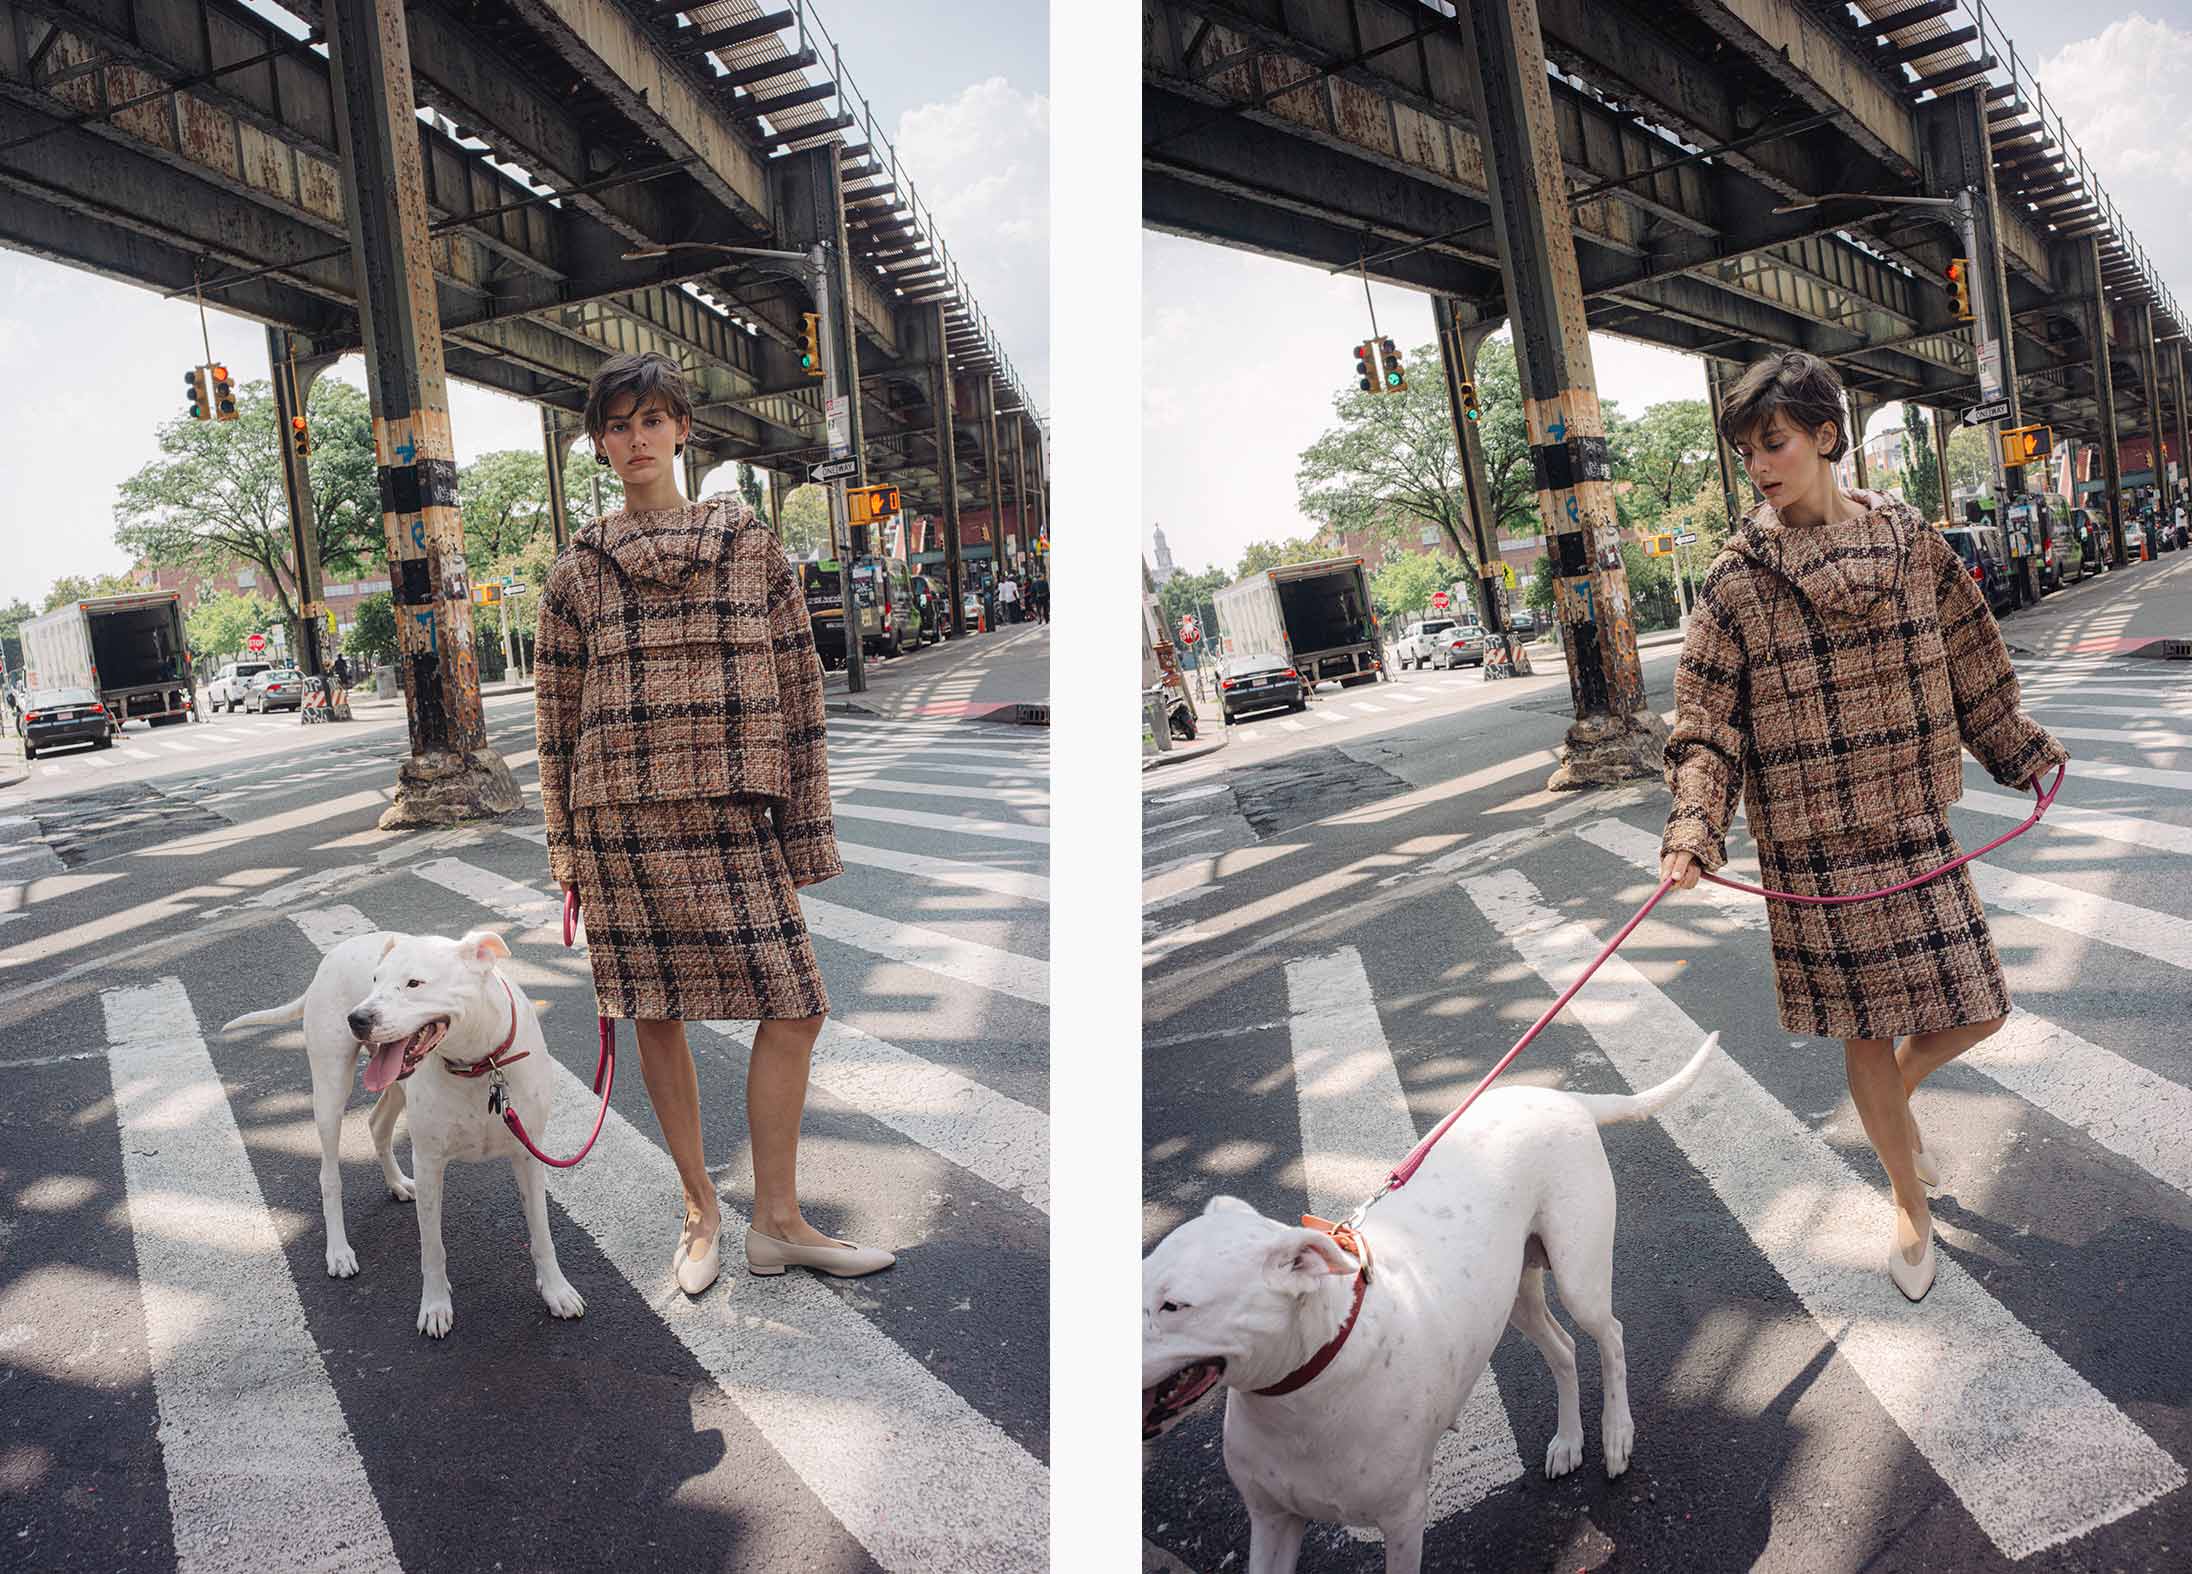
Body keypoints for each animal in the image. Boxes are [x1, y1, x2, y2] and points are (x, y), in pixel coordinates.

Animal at [222, 929, 587, 1341]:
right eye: (375, 980)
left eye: (414, 983)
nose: (357, 1018)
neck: (480, 1064)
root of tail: (332, 955)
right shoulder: (429, 1164)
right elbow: (432, 1249)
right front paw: (435, 1306)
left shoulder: (528, 1155)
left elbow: (541, 1233)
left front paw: (556, 1291)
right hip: (330, 1090)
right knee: (329, 1175)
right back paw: (339, 1250)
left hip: (395, 1084)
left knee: (377, 1123)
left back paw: (396, 1183)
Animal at [1139, 1043, 1718, 1569]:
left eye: (1174, 1306)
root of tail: (1564, 1096)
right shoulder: (1272, 1521)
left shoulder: (1402, 1519)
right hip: (1514, 1295)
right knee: (1564, 1349)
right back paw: (1569, 1441)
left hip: (1580, 1278)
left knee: (1611, 1336)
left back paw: (1616, 1434)